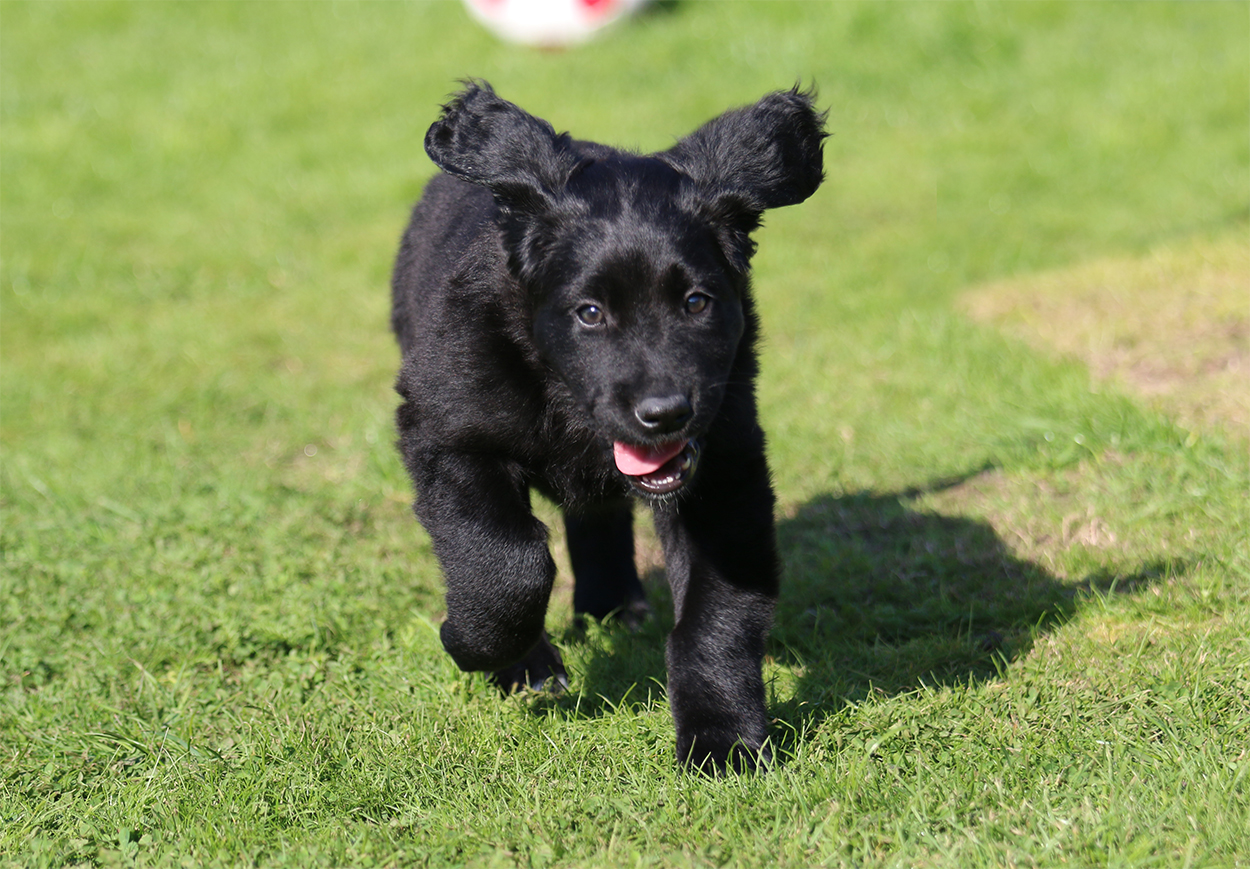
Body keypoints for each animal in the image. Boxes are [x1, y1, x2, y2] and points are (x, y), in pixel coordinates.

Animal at [391, 81, 825, 771]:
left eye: (697, 302)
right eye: (589, 313)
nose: (665, 412)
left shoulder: (724, 471)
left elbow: (717, 616)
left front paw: (723, 739)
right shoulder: (447, 434)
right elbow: (505, 564)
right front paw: (483, 648)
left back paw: (610, 604)